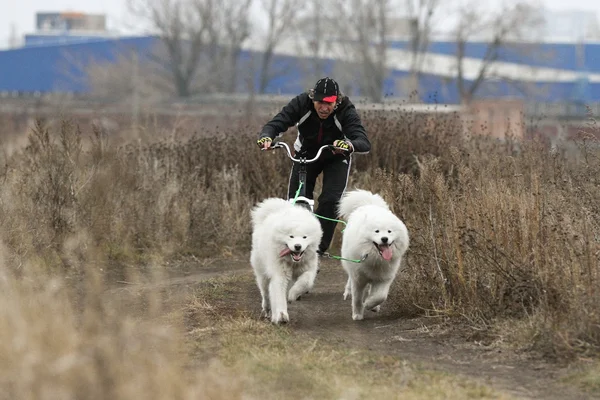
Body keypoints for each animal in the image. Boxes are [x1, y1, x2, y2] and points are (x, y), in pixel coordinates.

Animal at [338, 189, 408, 320]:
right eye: (377, 231)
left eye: (389, 231)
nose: (384, 239)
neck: (375, 259)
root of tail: (369, 204)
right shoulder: (358, 279)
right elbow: (357, 299)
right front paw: (357, 315)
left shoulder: (384, 278)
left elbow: (380, 296)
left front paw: (370, 304)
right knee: (350, 280)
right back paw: (348, 292)